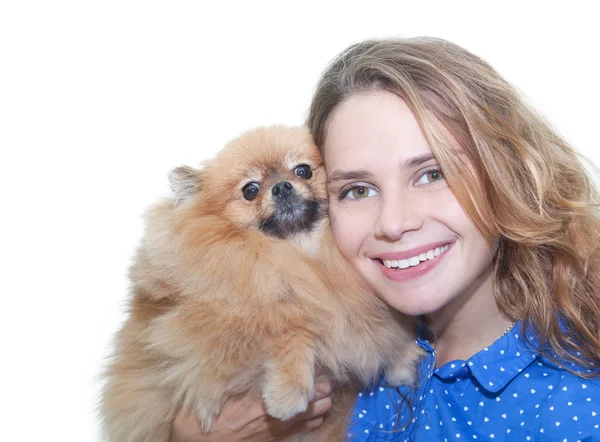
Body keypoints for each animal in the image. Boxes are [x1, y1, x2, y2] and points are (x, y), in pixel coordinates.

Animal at [101, 126, 422, 440]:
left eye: (303, 170)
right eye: (250, 190)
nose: (281, 187)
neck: (300, 258)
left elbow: (378, 329)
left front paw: (402, 360)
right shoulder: (222, 327)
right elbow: (291, 330)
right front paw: (288, 394)